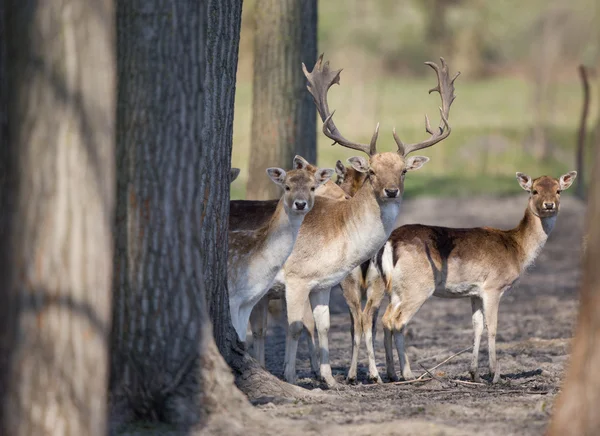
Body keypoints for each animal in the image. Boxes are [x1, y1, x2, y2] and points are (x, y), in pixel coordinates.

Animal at [229, 158, 336, 344]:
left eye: (312, 187)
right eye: (287, 187)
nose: (300, 204)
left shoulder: (247, 301)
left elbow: (240, 338)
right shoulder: (233, 298)